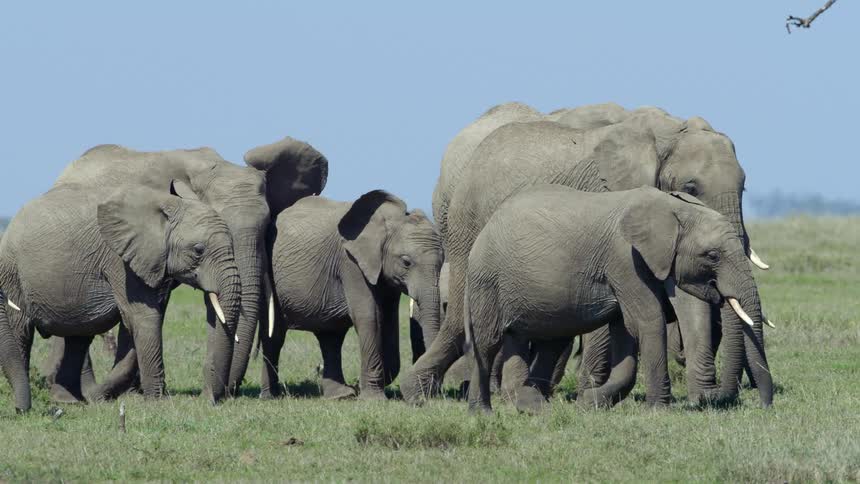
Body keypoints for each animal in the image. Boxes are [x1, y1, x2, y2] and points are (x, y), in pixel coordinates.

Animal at [0, 185, 241, 412]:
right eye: (198, 250)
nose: (209, 400)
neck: (168, 204)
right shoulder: (120, 261)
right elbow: (143, 318)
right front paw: (158, 403)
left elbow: (138, 324)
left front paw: (103, 397)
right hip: (13, 273)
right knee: (22, 330)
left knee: (78, 338)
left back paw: (70, 401)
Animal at [259, 190, 444, 400]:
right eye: (406, 262)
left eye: (442, 261)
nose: (429, 394)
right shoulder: (350, 263)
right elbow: (369, 317)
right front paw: (373, 399)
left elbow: (388, 319)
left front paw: (364, 388)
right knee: (274, 337)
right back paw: (270, 396)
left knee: (331, 338)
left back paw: (341, 395)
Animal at [466, 185, 767, 414]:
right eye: (712, 255)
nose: (765, 406)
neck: (673, 208)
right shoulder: (625, 259)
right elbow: (647, 321)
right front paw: (658, 410)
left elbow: (628, 331)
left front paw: (589, 404)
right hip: (486, 279)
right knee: (488, 342)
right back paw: (483, 412)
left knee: (533, 339)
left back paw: (531, 405)